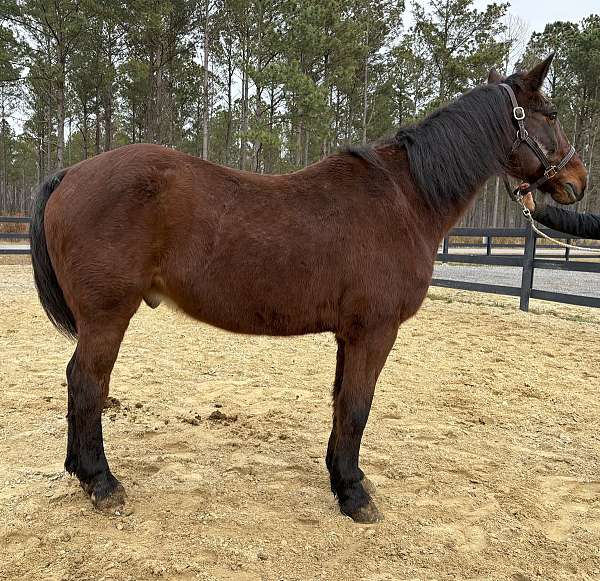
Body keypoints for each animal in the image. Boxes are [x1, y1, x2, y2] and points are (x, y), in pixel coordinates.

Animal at [30, 56, 588, 524]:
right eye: (552, 113)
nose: (578, 181)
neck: (405, 199)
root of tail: (70, 173)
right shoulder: (375, 331)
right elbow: (358, 406)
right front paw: (355, 496)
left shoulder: (349, 334)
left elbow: (341, 402)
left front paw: (342, 478)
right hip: (107, 316)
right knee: (87, 383)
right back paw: (101, 483)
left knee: (78, 381)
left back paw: (81, 473)